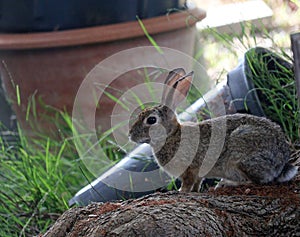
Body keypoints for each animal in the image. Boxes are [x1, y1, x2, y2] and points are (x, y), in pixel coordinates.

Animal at [128, 67, 298, 192]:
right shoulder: (198, 174)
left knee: (254, 181)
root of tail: (280, 163)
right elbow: (197, 182)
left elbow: (188, 182)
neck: (171, 135)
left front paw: (181, 192)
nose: (130, 135)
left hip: (241, 152)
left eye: (151, 120)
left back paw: (227, 183)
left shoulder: (190, 169)